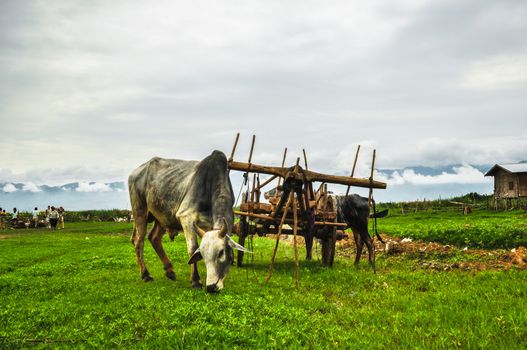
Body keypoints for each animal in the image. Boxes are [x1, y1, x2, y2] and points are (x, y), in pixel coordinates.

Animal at [129, 150, 251, 292]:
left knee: (154, 238)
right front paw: (196, 281)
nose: (211, 287)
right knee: (139, 242)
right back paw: (146, 275)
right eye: (202, 254)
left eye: (221, 253)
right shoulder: (186, 216)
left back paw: (170, 271)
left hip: (162, 217)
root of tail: (135, 171)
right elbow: (193, 248)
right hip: (140, 212)